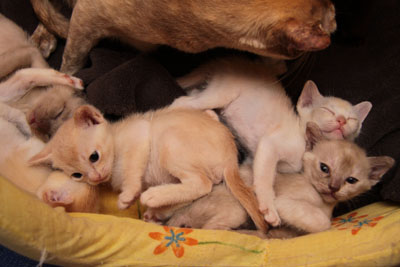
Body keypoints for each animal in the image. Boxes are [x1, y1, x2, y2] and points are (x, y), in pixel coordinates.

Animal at [29, 104, 268, 232]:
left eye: (94, 157)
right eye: (77, 175)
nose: (95, 178)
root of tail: (231, 158)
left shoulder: (139, 135)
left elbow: (132, 170)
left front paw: (128, 195)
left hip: (168, 142)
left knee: (201, 184)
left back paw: (153, 197)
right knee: (197, 190)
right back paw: (157, 208)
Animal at [163, 123, 394, 239]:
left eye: (351, 180)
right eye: (324, 168)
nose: (334, 187)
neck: (324, 204)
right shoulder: (285, 202)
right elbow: (322, 223)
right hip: (238, 211)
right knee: (210, 228)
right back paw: (251, 233)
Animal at [170, 56, 374, 226]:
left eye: (352, 119)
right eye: (327, 110)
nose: (341, 120)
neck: (305, 143)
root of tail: (235, 62)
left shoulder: (254, 157)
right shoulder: (269, 144)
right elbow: (265, 178)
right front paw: (269, 207)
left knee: (192, 93)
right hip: (221, 94)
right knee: (181, 102)